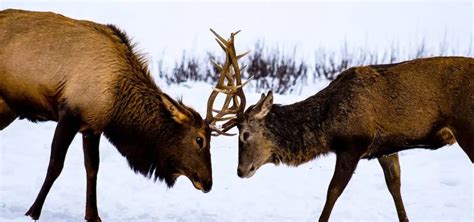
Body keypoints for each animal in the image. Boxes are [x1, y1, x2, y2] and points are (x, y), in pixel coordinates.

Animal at [0, 9, 241, 221]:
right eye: (199, 140)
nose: (208, 183)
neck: (117, 106)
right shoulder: (69, 114)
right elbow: (55, 165)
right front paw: (33, 212)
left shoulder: (92, 127)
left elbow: (92, 169)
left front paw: (93, 216)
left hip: (7, 109)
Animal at [220, 56, 472, 222]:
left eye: (245, 134)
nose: (240, 171)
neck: (326, 128)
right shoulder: (385, 148)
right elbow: (395, 187)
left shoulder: (352, 145)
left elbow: (332, 191)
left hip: (467, 127)